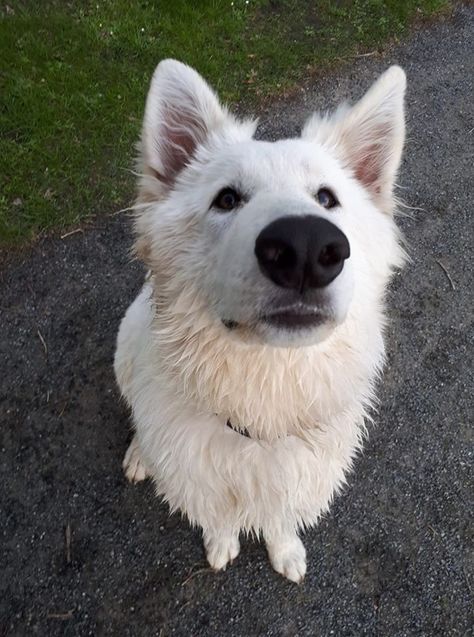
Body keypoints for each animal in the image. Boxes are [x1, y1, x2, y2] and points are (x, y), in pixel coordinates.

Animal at [115, 59, 408, 580]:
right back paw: (138, 455)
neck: (263, 411)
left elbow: (279, 520)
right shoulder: (202, 485)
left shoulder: (298, 480)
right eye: (227, 199)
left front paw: (286, 552)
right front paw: (221, 546)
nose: (306, 248)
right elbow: (218, 520)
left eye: (327, 198)